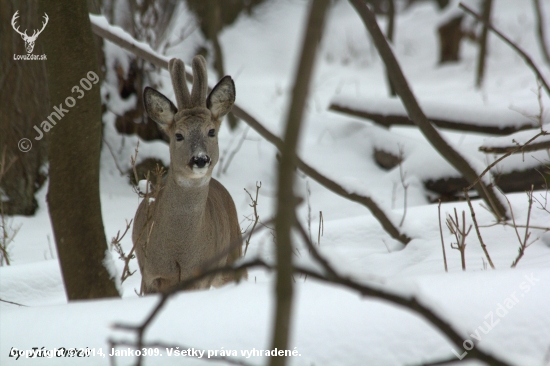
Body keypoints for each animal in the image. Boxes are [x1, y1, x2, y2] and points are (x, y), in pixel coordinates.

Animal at [132, 55, 246, 294]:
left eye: (211, 131)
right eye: (178, 135)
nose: (200, 159)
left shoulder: (200, 278)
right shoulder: (149, 274)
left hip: (233, 253)